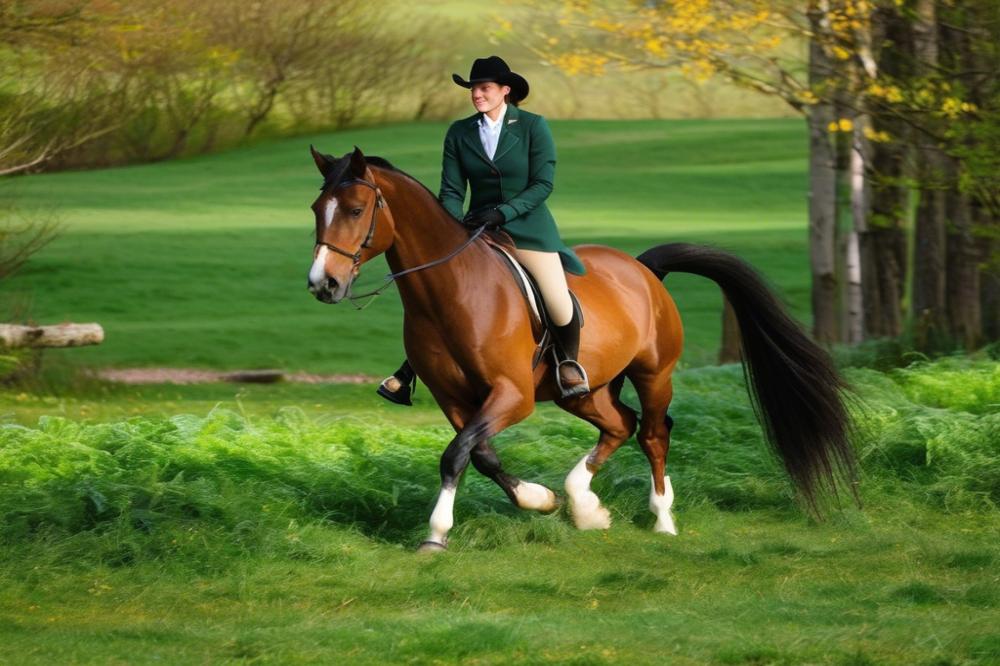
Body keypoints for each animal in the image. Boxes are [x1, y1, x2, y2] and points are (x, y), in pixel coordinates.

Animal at [306, 147, 860, 548]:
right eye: (316, 210)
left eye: (355, 209)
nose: (322, 285)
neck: (451, 290)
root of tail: (642, 269)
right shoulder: (454, 397)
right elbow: (477, 453)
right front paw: (540, 500)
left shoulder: (513, 395)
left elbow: (457, 453)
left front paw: (437, 533)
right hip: (584, 390)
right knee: (620, 424)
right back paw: (584, 504)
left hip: (654, 373)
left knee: (653, 433)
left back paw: (662, 518)